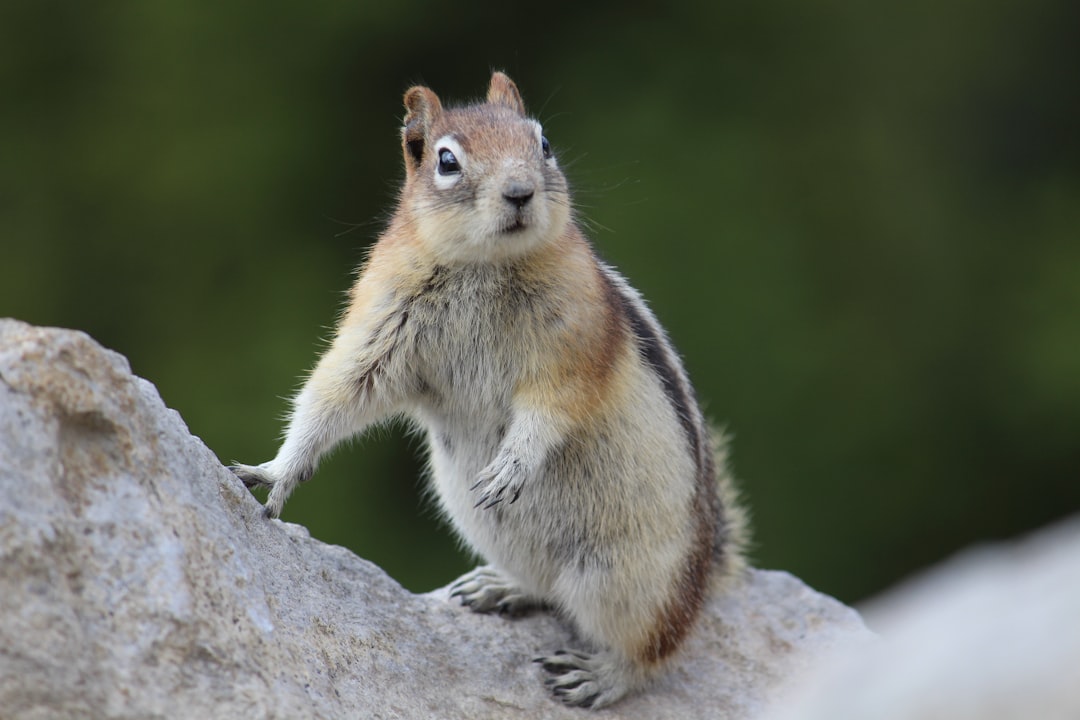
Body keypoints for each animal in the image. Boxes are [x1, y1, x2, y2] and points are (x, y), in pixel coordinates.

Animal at [232, 73, 747, 708]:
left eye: (543, 143)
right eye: (446, 160)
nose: (521, 192)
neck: (483, 263)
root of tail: (704, 574)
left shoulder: (574, 346)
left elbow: (551, 410)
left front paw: (511, 467)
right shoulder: (378, 327)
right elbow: (333, 396)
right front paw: (274, 474)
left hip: (623, 579)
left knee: (654, 650)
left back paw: (599, 675)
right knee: (549, 591)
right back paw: (500, 588)